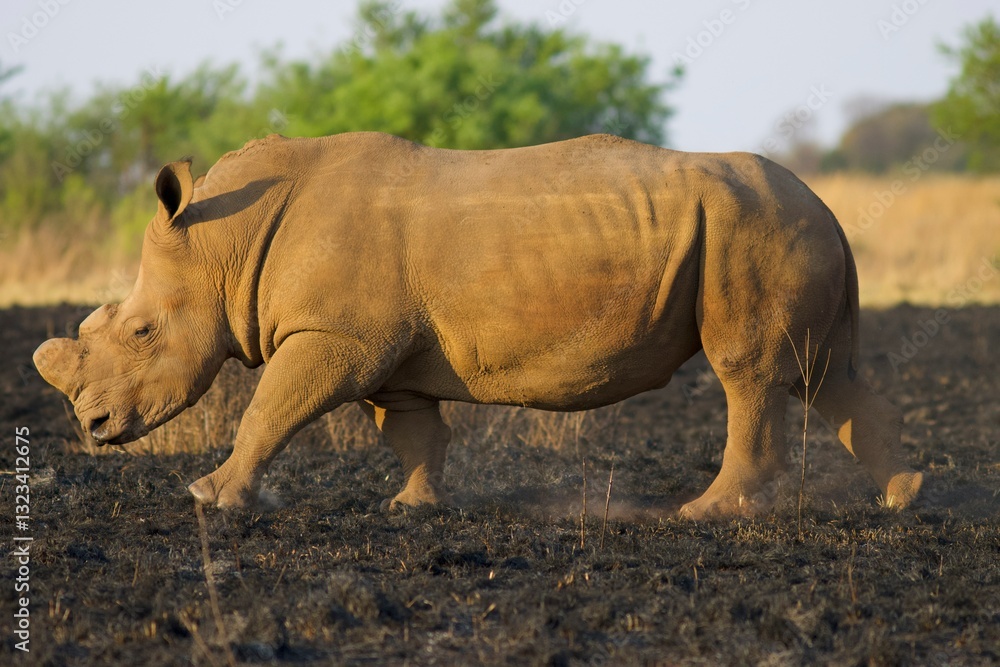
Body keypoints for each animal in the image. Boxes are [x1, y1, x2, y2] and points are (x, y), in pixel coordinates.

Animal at [33, 132, 922, 518]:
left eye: (142, 332)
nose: (94, 425)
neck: (227, 241)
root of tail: (827, 204)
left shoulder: (334, 337)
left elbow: (269, 408)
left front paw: (209, 497)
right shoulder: (374, 346)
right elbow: (410, 428)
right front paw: (412, 507)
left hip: (756, 229)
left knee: (751, 373)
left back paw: (705, 515)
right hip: (781, 228)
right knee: (824, 374)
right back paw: (901, 500)